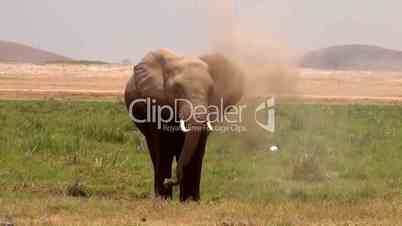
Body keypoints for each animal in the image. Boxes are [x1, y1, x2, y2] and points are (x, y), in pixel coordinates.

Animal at [124, 49, 243, 201]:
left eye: (211, 90)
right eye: (177, 89)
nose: (168, 181)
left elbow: (198, 148)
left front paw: (190, 201)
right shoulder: (157, 104)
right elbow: (163, 146)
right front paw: (164, 199)